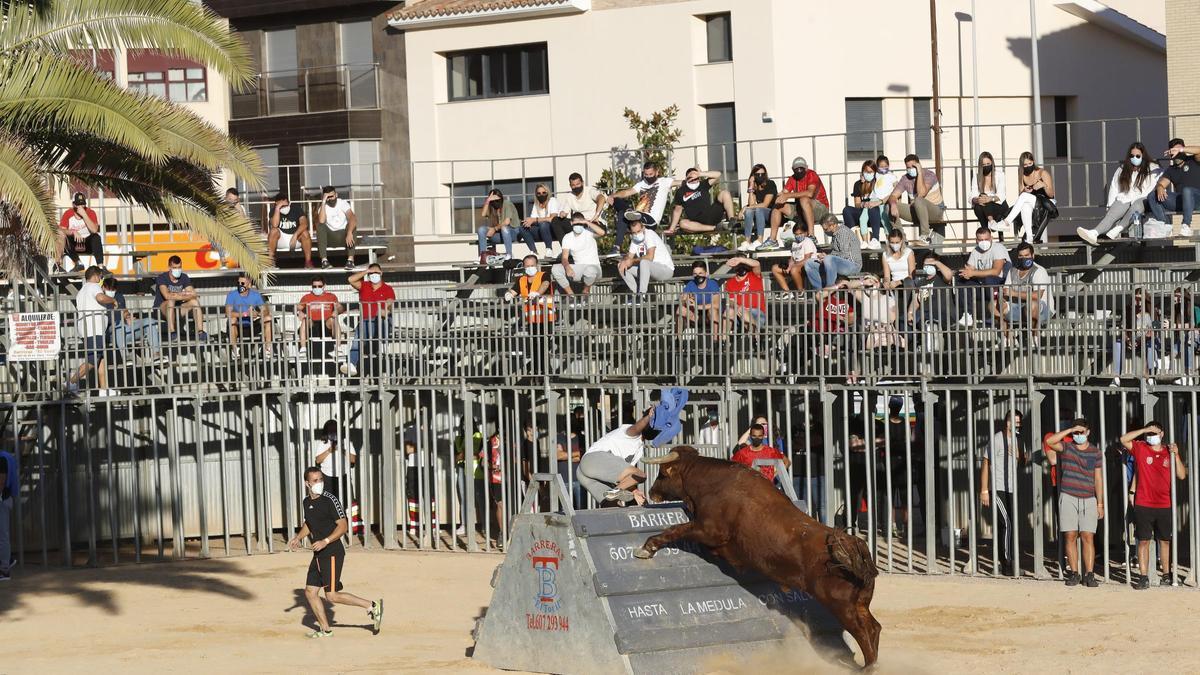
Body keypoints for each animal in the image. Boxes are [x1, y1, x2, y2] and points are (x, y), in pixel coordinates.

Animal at [638, 444, 883, 662]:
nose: (651, 493)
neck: (712, 483)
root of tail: (852, 545)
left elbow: (676, 530)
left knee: (864, 632)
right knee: (875, 628)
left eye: (662, 474)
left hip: (841, 605)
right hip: (859, 604)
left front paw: (647, 548)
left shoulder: (709, 530)